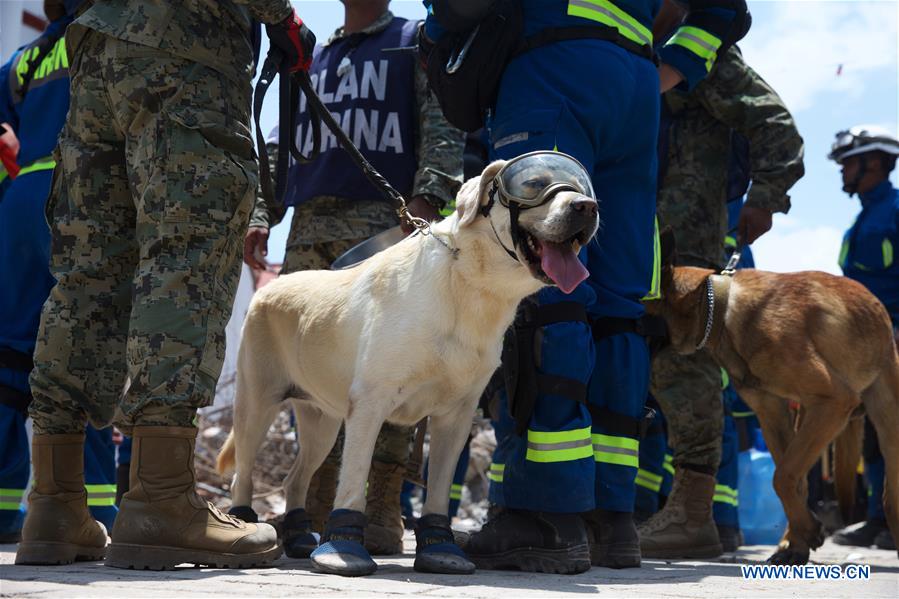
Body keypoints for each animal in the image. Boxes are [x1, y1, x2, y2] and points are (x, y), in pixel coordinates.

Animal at [216, 158, 596, 576]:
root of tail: (269, 287)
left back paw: (300, 535)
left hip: (321, 422)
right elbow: (354, 480)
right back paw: (246, 523)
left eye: (582, 186)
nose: (587, 207)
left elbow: (440, 489)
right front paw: (343, 547)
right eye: (533, 184)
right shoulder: (369, 404)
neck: (470, 287)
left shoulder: (456, 416)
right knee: (243, 473)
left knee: (294, 478)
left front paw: (440, 547)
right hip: (257, 404)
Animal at [648, 232, 899, 564]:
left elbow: (783, 476)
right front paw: (801, 537)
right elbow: (790, 479)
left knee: (889, 493)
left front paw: (807, 532)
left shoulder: (834, 401)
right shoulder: (774, 413)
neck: (720, 308)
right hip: (809, 415)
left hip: (883, 416)